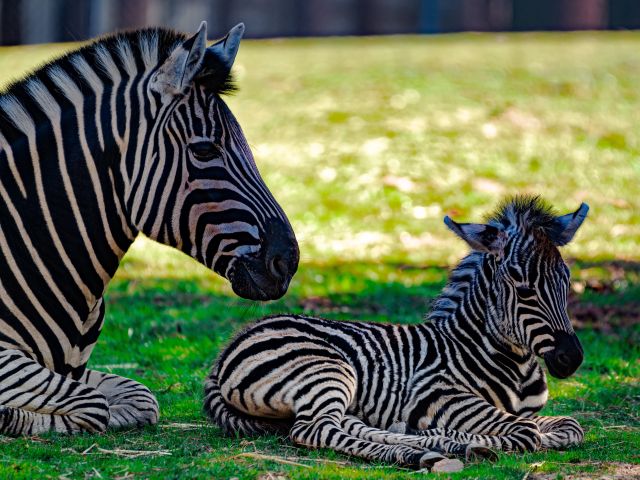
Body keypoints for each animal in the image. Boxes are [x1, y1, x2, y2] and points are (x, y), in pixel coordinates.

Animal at [0, 22, 299, 436]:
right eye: (204, 150)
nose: (288, 260)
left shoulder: (74, 370)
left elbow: (141, 398)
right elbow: (93, 405)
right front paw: (11, 416)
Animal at [204, 196, 587, 468]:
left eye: (566, 280)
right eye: (523, 288)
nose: (572, 358)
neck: (516, 363)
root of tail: (231, 345)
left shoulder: (530, 412)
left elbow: (570, 426)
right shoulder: (435, 393)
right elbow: (526, 433)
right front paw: (466, 437)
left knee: (347, 425)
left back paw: (433, 446)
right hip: (328, 371)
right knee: (317, 430)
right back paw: (430, 450)